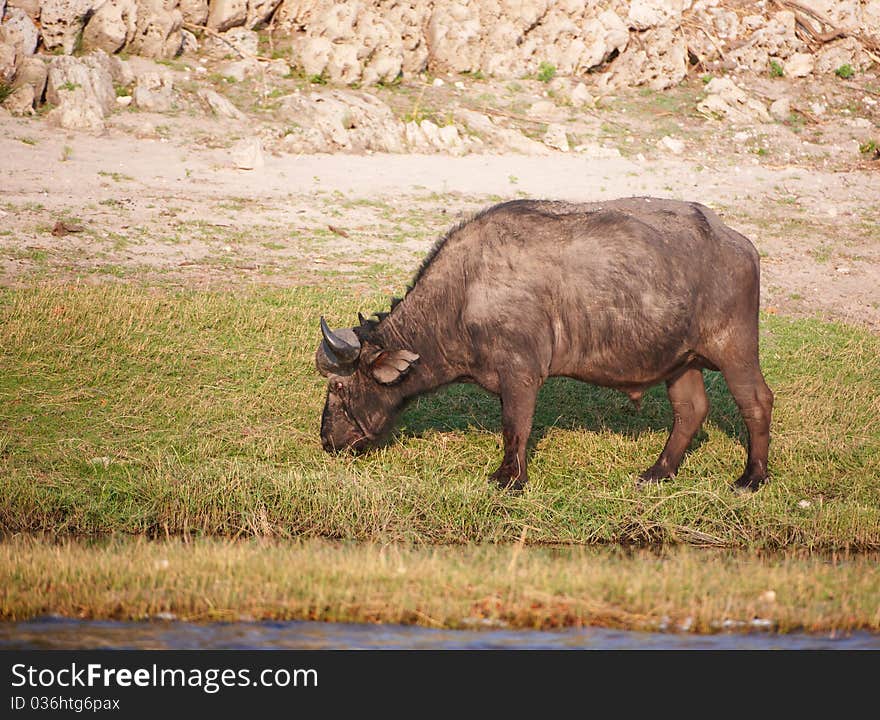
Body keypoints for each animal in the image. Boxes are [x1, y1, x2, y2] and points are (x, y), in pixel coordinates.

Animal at [314, 197, 768, 490]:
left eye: (338, 388)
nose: (328, 441)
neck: (463, 293)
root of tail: (738, 241)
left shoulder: (521, 373)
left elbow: (515, 425)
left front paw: (509, 479)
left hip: (736, 349)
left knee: (757, 402)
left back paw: (752, 477)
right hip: (681, 361)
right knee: (691, 410)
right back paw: (658, 471)